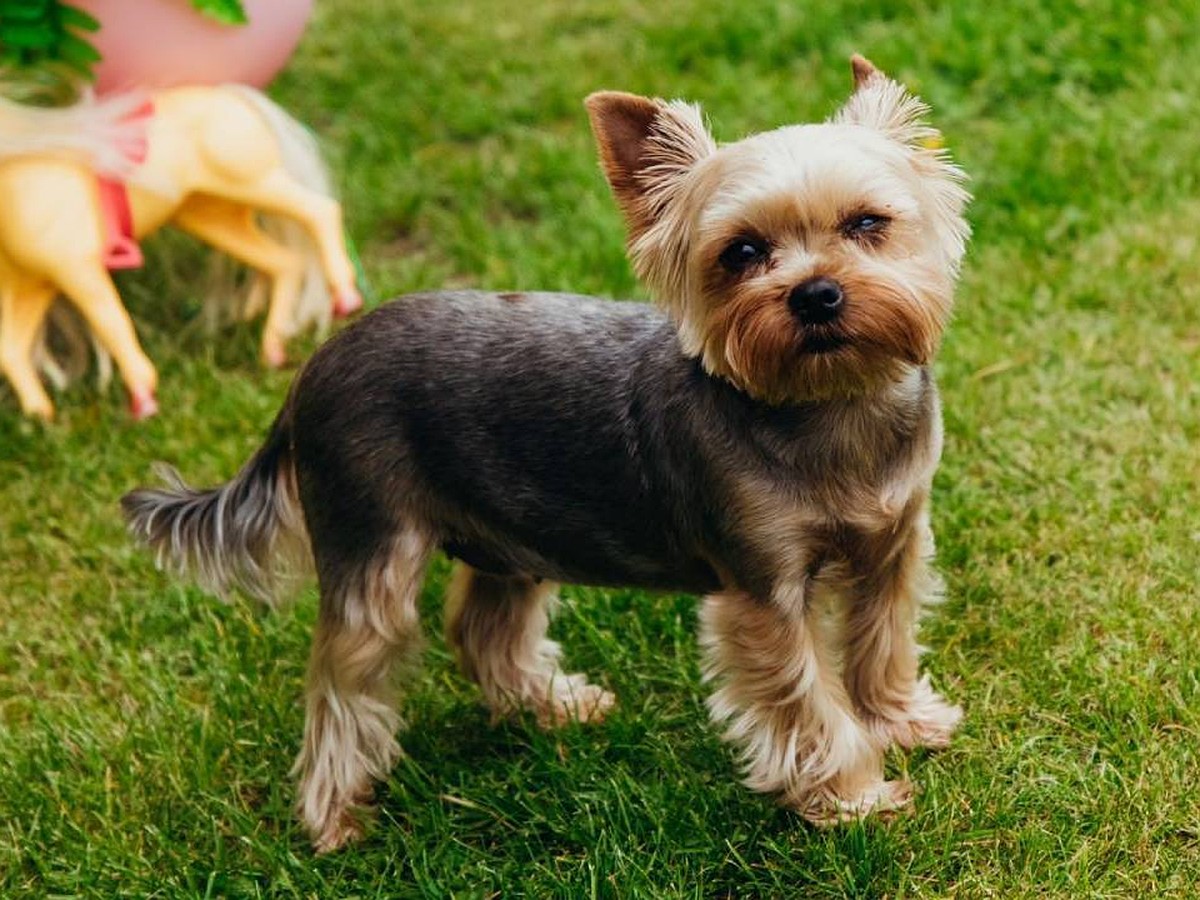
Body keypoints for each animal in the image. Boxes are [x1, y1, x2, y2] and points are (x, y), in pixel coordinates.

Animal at [121, 52, 964, 854]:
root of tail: (310, 371)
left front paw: (901, 721)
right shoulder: (763, 590)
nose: (815, 295)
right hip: (372, 544)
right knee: (340, 685)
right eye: (742, 252)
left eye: (867, 224)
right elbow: (806, 699)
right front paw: (852, 798)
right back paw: (334, 819)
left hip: (511, 534)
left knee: (482, 631)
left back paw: (551, 704)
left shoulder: (896, 542)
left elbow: (882, 641)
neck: (829, 406)